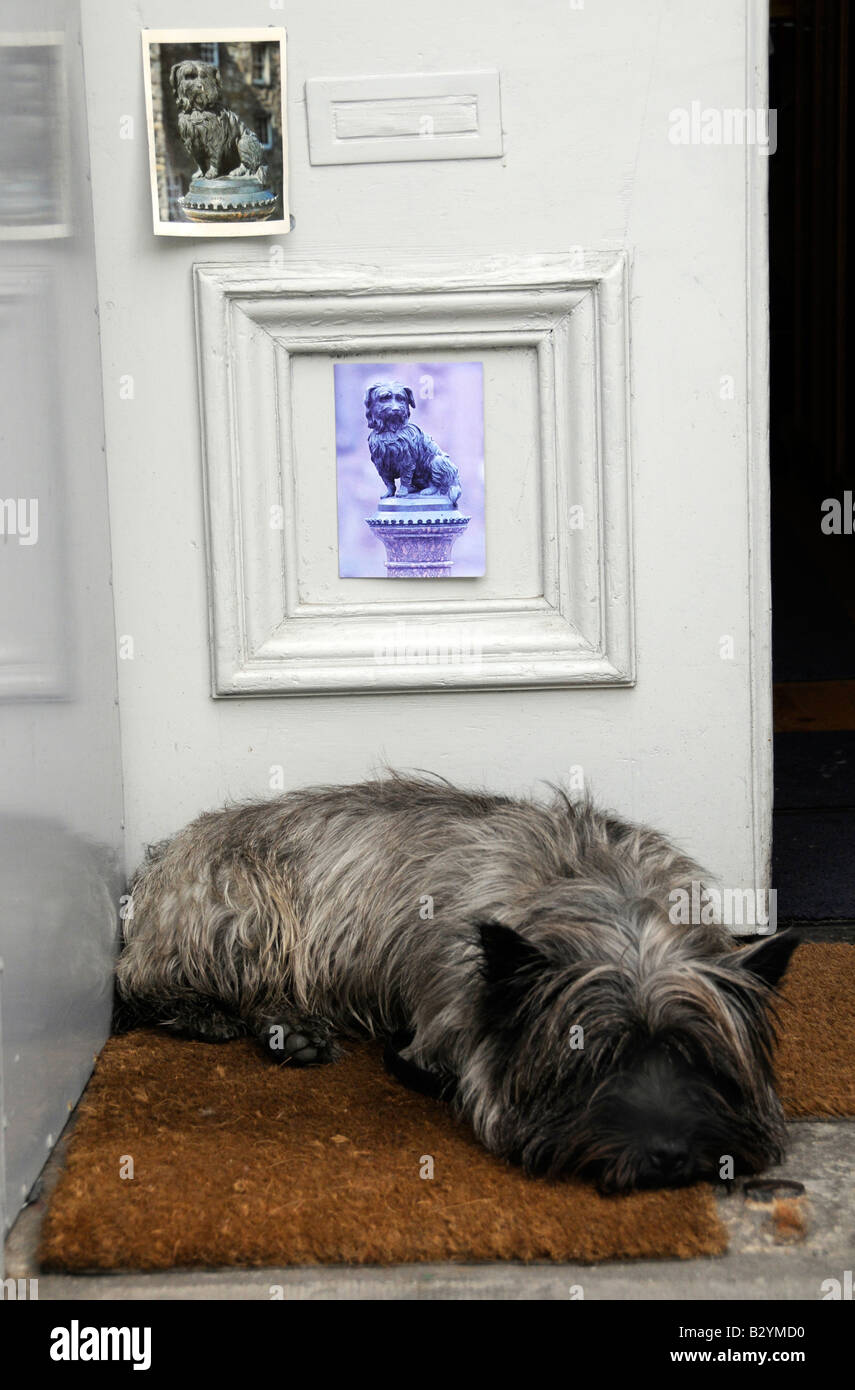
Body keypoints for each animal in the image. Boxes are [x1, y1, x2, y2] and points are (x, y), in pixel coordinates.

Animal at [116, 778, 800, 1189]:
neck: (602, 898)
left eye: (697, 1060)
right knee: (146, 979)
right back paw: (212, 1014)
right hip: (245, 909)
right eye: (594, 1064)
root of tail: (160, 860)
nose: (668, 1156)